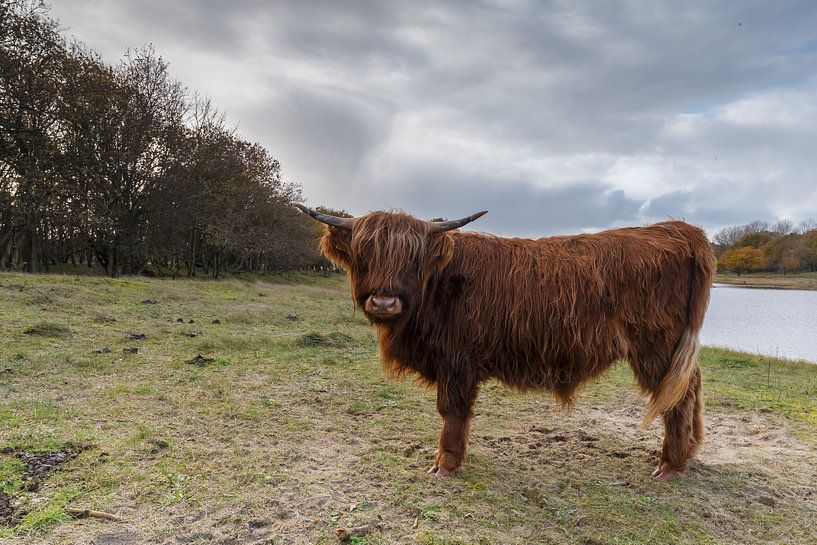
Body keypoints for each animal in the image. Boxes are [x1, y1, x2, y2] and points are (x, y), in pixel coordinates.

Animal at [294, 205, 712, 480]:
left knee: (675, 397)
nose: (384, 302)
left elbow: (452, 410)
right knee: (691, 385)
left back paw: (669, 465)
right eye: (365, 253)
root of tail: (677, 229)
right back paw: (690, 453)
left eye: (413, 257)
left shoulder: (457, 359)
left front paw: (446, 463)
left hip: (656, 346)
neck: (436, 285)